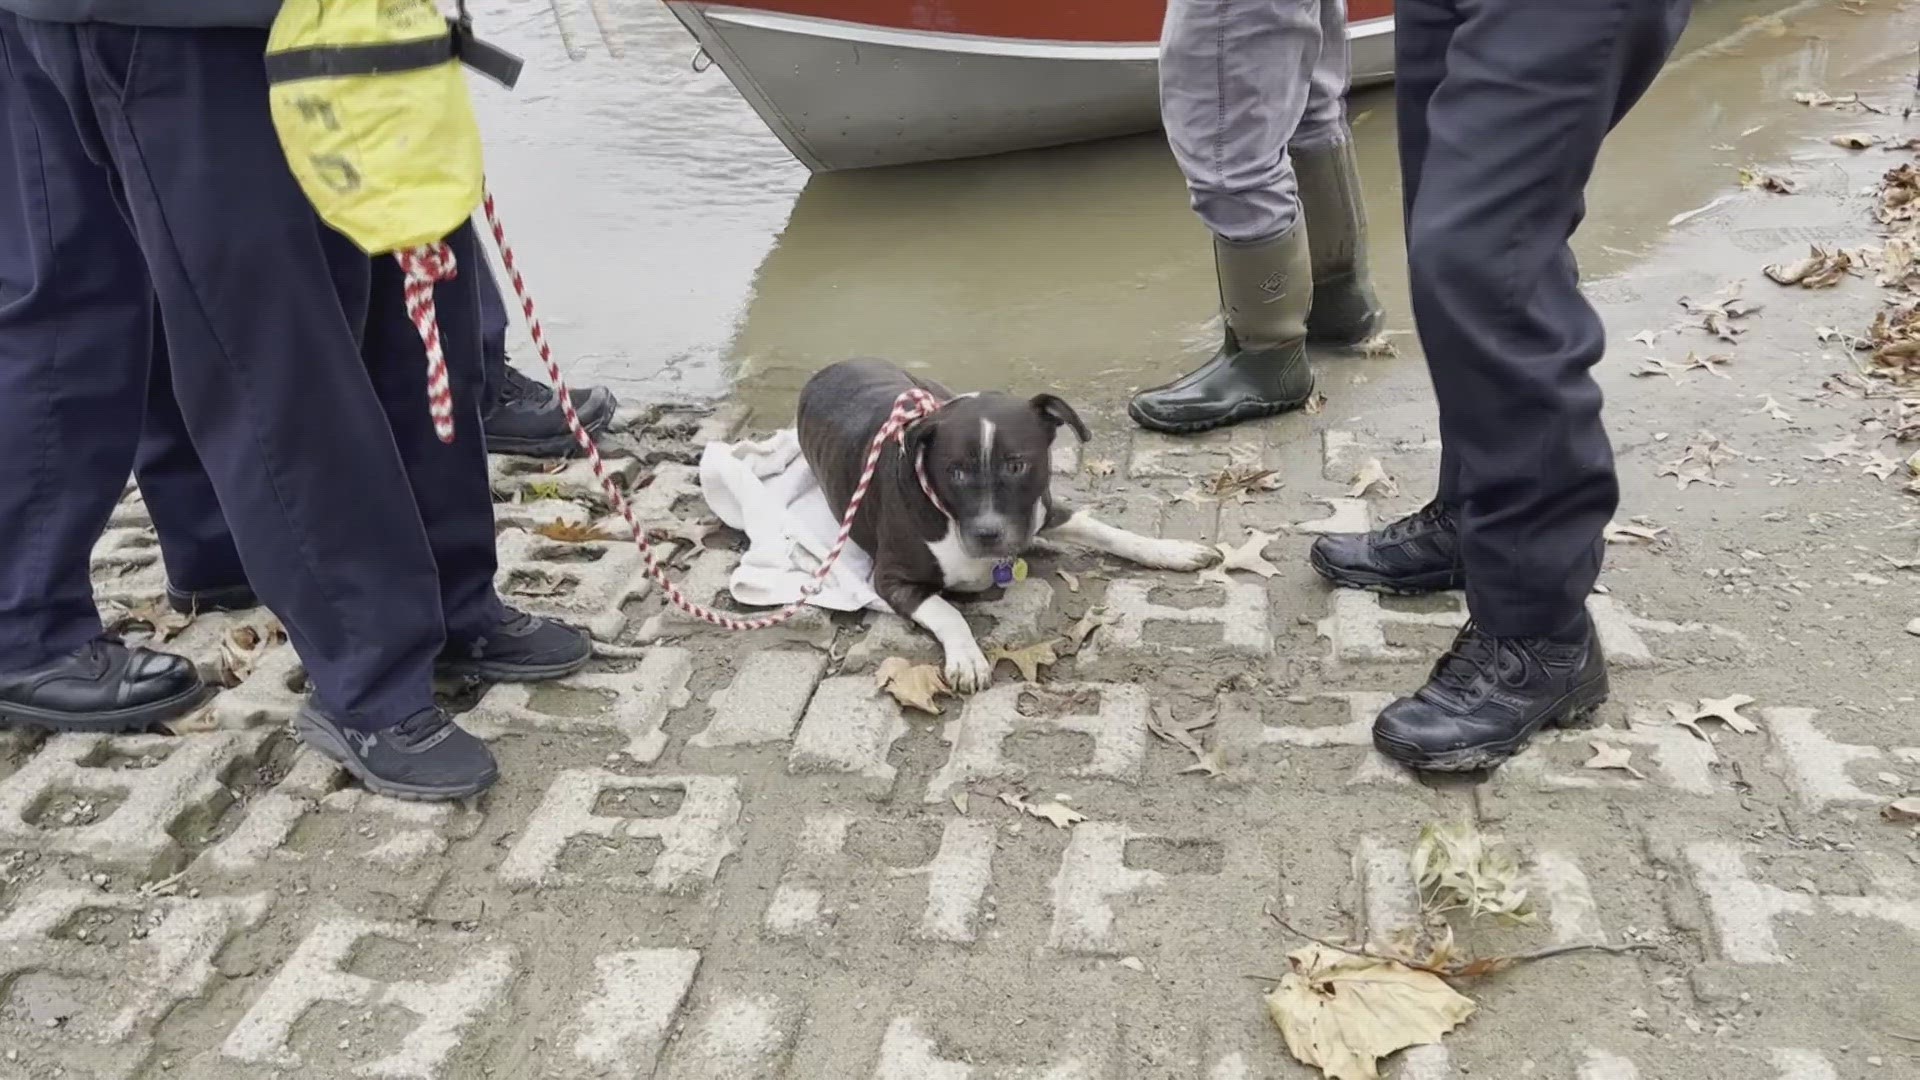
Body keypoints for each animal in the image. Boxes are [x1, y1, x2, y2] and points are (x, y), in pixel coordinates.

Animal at [798, 357, 1221, 684]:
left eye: (1017, 465)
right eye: (955, 472)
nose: (988, 533)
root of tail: (832, 367)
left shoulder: (1042, 511)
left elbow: (1107, 530)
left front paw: (1170, 550)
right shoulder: (892, 579)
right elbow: (947, 611)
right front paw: (967, 658)